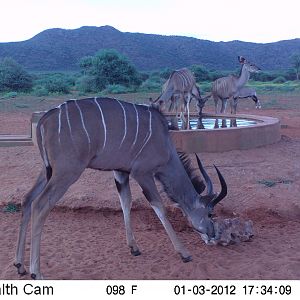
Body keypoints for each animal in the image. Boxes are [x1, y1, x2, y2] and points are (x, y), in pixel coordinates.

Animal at [12, 96, 226, 278]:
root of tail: (45, 118)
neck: (166, 145)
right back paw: (36, 272)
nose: (212, 235)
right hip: (66, 172)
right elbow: (159, 207)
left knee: (27, 199)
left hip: (48, 170)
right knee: (40, 205)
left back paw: (19, 265)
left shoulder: (120, 172)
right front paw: (184, 253)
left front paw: (134, 248)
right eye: (210, 213)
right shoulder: (143, 173)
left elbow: (126, 202)